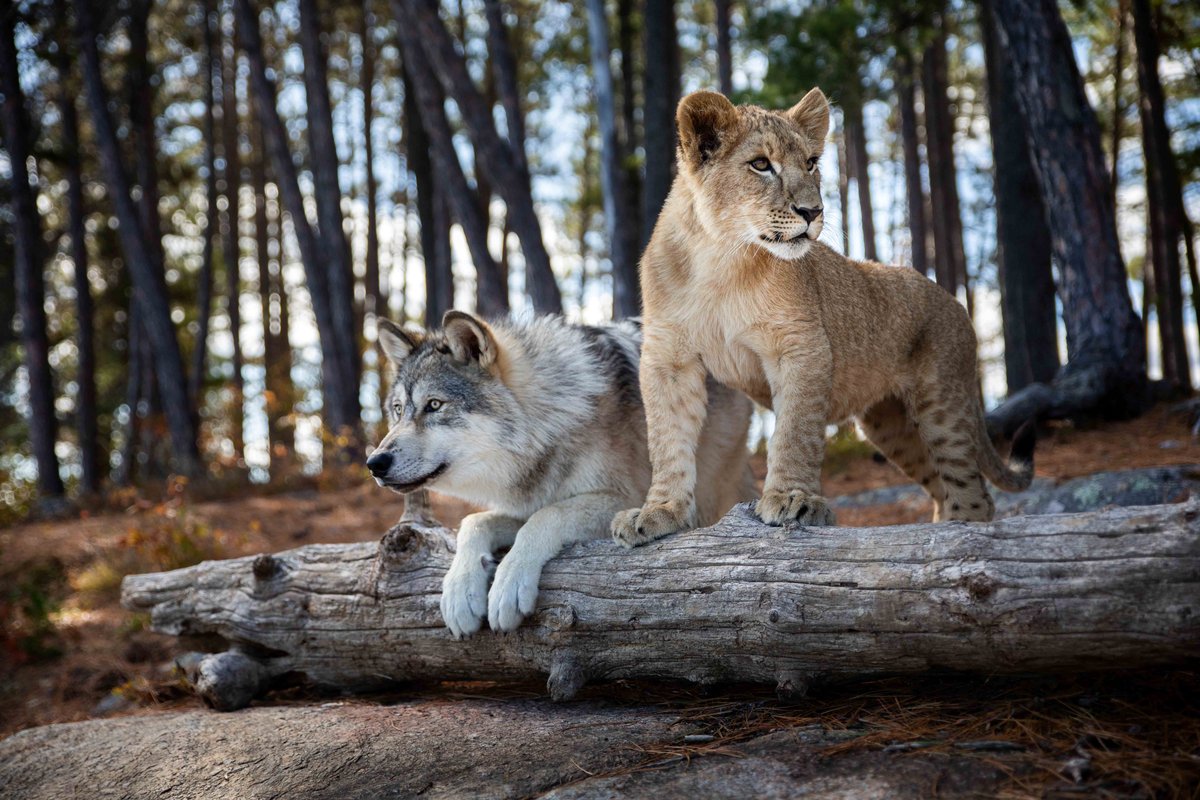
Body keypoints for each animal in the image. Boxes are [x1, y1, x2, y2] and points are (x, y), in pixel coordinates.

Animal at [367, 311, 755, 637]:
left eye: (434, 405)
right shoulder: (528, 501)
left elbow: (544, 518)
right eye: (398, 410)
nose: (375, 462)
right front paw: (459, 592)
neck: (550, 419)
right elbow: (474, 522)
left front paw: (509, 585)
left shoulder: (619, 500)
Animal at [611, 88, 1034, 547]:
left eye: (811, 162)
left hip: (942, 403)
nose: (812, 212)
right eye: (761, 164)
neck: (721, 259)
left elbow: (794, 432)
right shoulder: (669, 358)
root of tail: (955, 301)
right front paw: (659, 512)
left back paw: (959, 538)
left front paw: (793, 499)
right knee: (940, 485)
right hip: (892, 426)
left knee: (973, 492)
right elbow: (668, 441)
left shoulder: (800, 345)